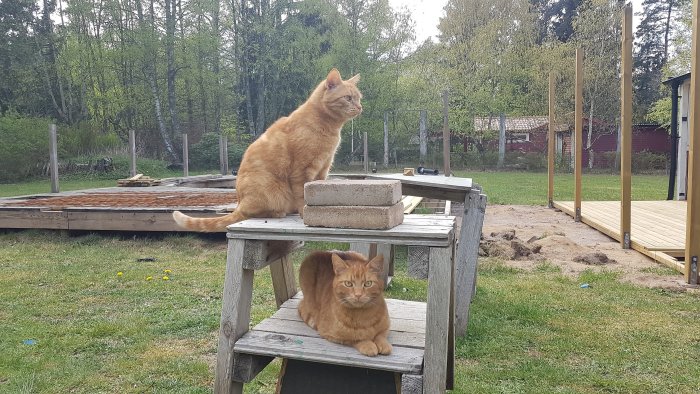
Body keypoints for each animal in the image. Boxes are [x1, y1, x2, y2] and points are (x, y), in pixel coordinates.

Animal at [173, 69, 364, 232]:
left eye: (359, 98)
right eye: (348, 98)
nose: (360, 107)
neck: (329, 127)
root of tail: (239, 202)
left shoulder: (323, 168)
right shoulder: (302, 170)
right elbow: (302, 196)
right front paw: (305, 214)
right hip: (271, 191)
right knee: (251, 213)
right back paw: (279, 212)